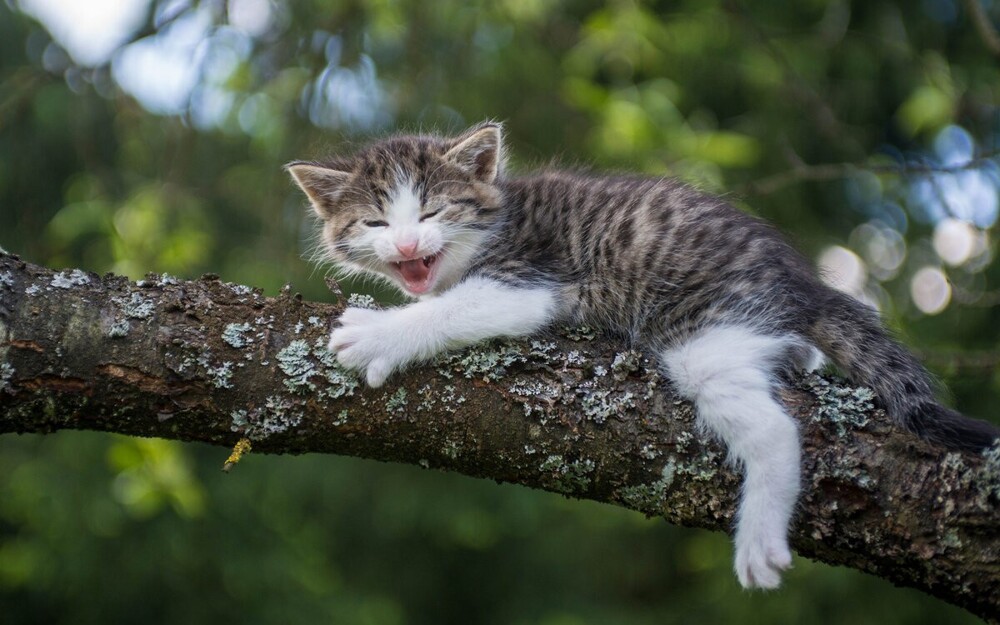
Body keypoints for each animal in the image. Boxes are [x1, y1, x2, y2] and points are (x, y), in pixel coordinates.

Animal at [286, 122, 996, 588]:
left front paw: (375, 336)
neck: (491, 227)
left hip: (703, 328)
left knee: (774, 430)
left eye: (432, 210)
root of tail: (802, 283)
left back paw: (759, 541)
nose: (408, 246)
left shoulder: (529, 279)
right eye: (377, 223)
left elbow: (453, 309)